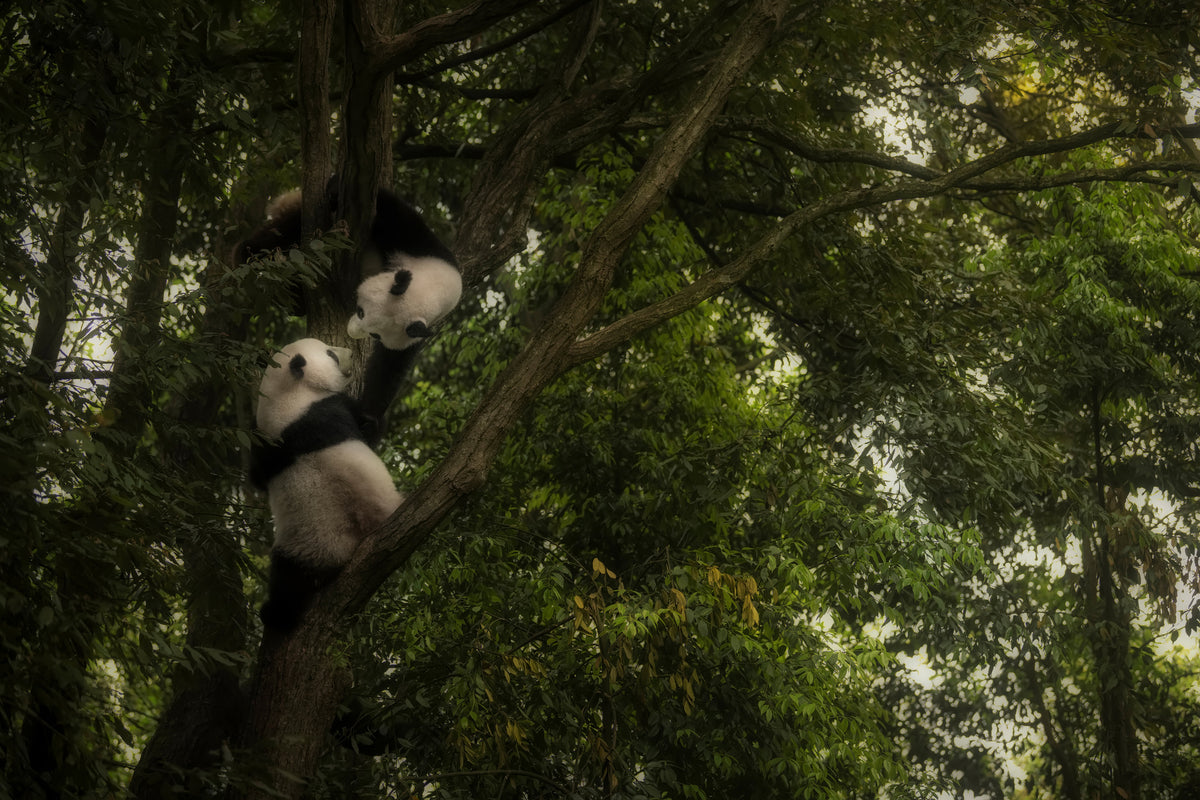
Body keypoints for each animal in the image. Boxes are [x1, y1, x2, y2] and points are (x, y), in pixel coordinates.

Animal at [250, 337, 403, 632]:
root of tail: (342, 553)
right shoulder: (330, 408)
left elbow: (256, 477)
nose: (351, 353)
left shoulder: (266, 446)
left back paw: (276, 615)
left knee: (287, 579)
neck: (287, 397)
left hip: (299, 547)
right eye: (331, 354)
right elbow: (367, 430)